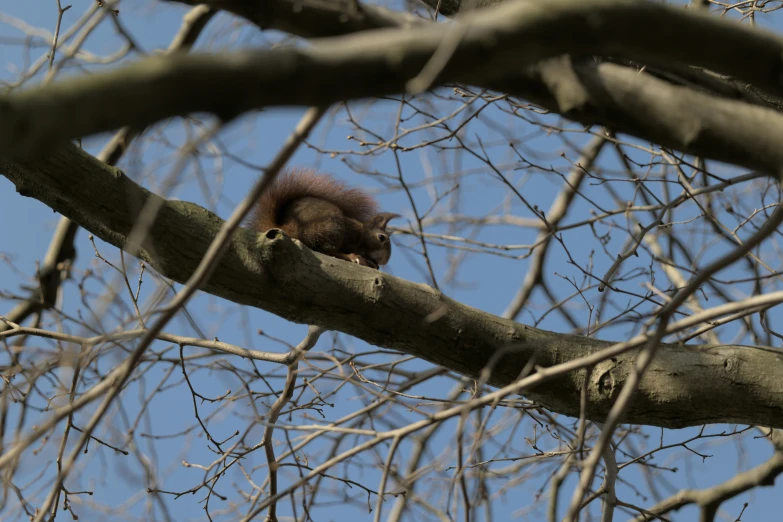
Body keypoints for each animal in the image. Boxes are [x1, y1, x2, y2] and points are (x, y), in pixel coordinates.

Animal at [250, 168, 398, 268]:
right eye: (381, 238)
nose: (383, 260)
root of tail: (288, 227)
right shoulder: (351, 231)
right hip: (330, 227)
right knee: (327, 250)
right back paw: (351, 257)